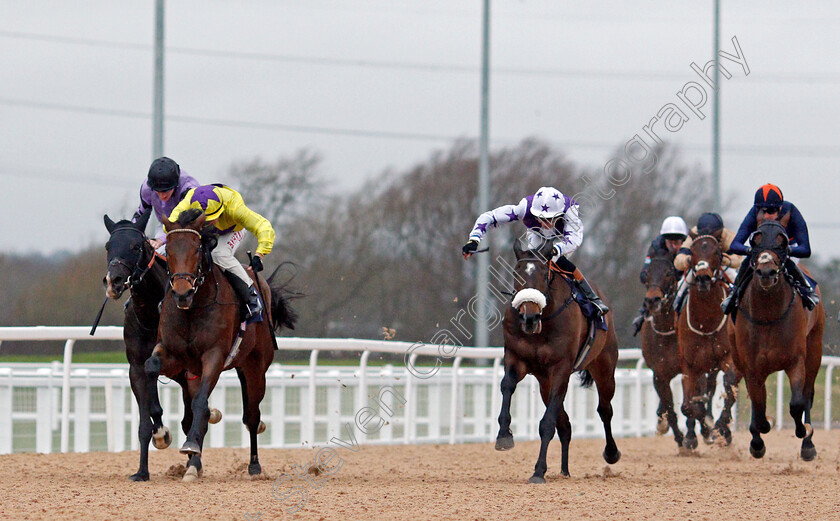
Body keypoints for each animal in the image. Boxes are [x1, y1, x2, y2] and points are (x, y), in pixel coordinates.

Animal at [102, 211, 223, 480]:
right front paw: (143, 469)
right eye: (108, 246)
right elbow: (147, 419)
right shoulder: (137, 367)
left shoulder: (186, 369)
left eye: (136, 247)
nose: (114, 281)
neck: (150, 316)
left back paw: (194, 463)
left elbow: (194, 414)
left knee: (195, 415)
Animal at [496, 238, 620, 482]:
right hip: (545, 382)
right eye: (516, 273)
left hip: (604, 366)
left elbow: (547, 423)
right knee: (566, 425)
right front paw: (504, 434)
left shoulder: (561, 368)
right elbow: (507, 386)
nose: (529, 317)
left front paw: (538, 471)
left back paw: (611, 453)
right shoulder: (516, 358)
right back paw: (564, 470)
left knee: (604, 409)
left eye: (544, 274)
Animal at [732, 219, 824, 460]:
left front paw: (804, 432)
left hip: (815, 349)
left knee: (807, 395)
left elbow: (797, 404)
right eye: (755, 241)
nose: (766, 271)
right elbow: (758, 405)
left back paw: (808, 445)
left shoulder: (796, 360)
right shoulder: (752, 367)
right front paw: (758, 439)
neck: (768, 315)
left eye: (782, 242)